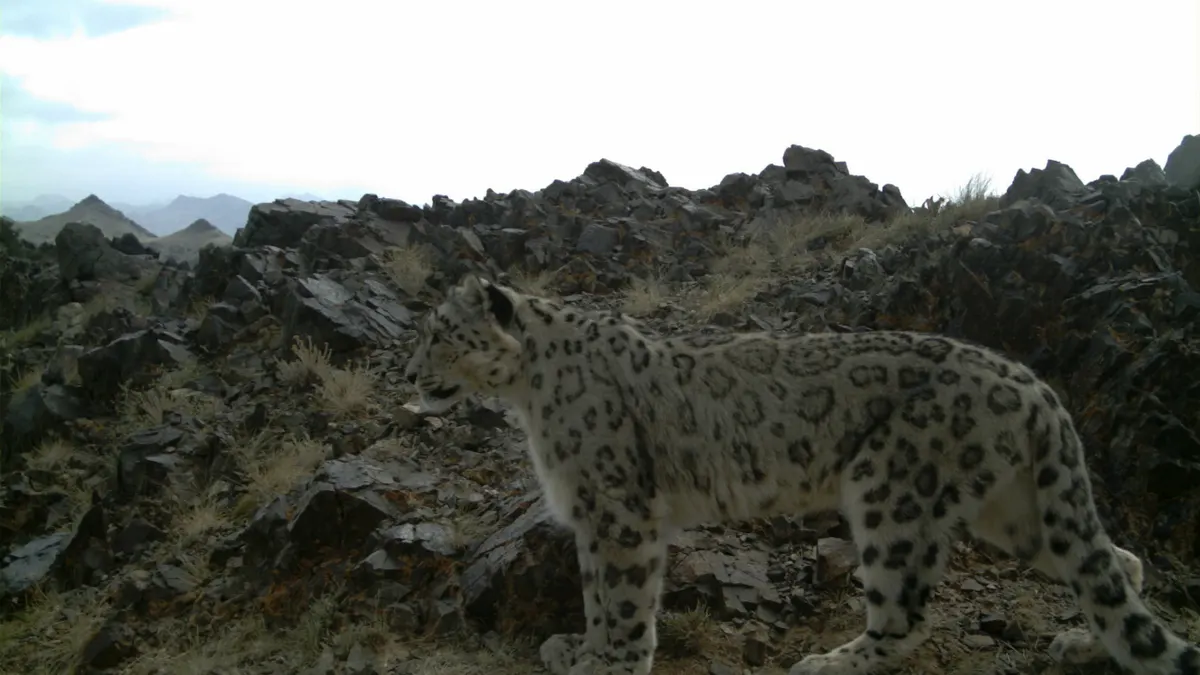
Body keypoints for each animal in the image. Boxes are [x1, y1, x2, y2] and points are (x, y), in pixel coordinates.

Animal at [403, 274, 1200, 675]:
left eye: (442, 334)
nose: (409, 373)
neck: (528, 394)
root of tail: (1034, 385)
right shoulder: (590, 515)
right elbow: (596, 591)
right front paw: (582, 648)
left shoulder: (619, 509)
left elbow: (623, 598)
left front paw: (613, 663)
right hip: (1016, 509)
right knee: (1113, 565)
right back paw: (1083, 645)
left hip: (890, 488)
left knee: (905, 613)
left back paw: (831, 661)